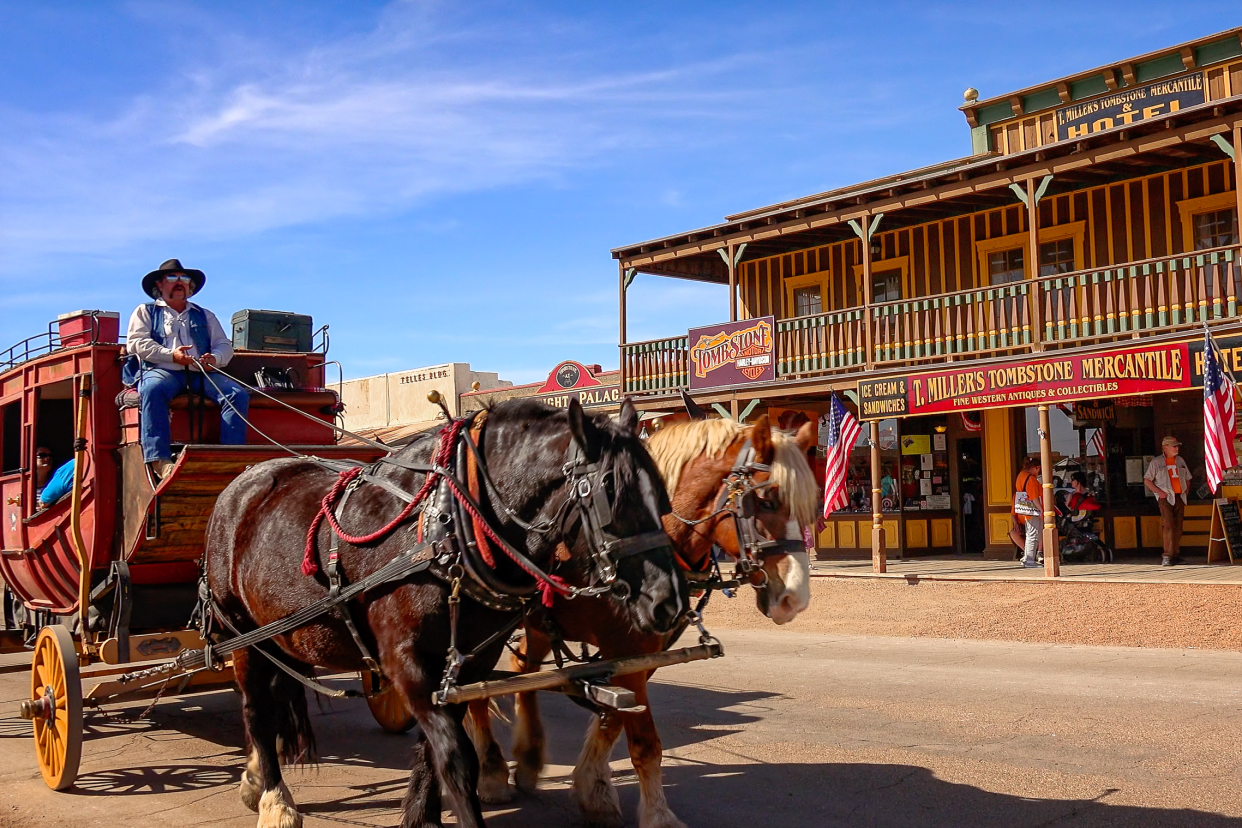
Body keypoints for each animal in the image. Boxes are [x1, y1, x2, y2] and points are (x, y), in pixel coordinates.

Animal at [204, 397, 690, 828]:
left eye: (661, 494)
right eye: (610, 493)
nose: (669, 601)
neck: (448, 526)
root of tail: (242, 482)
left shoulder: (469, 664)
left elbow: (432, 753)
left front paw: (423, 817)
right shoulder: (407, 663)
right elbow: (456, 759)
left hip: (280, 638)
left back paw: (253, 780)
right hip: (241, 634)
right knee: (256, 709)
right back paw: (274, 800)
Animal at [466, 414, 814, 828]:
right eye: (765, 500)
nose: (795, 598)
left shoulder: (640, 654)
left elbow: (614, 716)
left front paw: (593, 789)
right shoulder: (627, 649)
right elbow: (645, 742)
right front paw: (658, 815)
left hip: (538, 623)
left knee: (522, 669)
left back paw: (529, 756)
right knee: (477, 689)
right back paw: (490, 772)